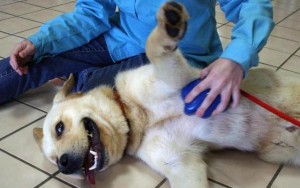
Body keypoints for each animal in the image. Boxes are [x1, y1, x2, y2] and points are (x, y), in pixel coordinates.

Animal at [32, 1, 300, 188]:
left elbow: (154, 47)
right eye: (54, 160)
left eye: (59, 128)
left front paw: (168, 25)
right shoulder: (181, 163)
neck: (135, 118)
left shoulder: (181, 79)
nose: (65, 165)